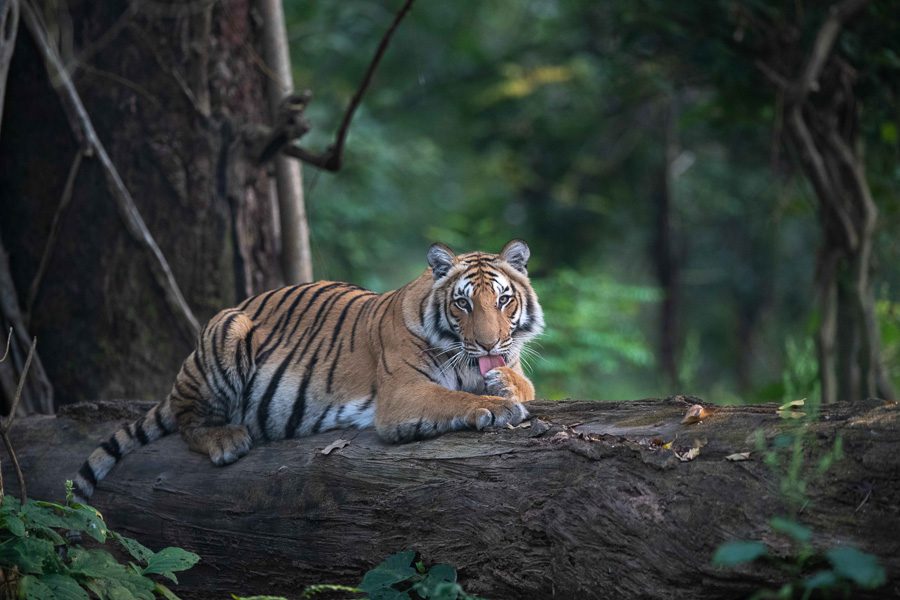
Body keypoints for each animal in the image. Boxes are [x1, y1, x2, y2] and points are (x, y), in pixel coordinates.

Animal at [70, 239, 540, 502]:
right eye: (462, 303)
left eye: (503, 300)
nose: (487, 344)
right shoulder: (402, 394)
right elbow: (452, 397)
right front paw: (496, 408)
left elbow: (526, 385)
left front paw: (505, 384)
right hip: (226, 328)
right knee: (189, 421)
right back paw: (227, 440)